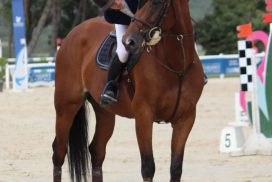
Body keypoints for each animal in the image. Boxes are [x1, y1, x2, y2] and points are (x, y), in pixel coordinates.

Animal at [51, 0, 204, 181]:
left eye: (157, 3)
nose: (128, 41)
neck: (177, 66)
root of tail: (72, 34)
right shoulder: (144, 115)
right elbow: (148, 167)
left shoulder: (186, 119)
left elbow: (176, 169)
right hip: (66, 107)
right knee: (59, 152)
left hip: (105, 113)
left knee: (97, 151)